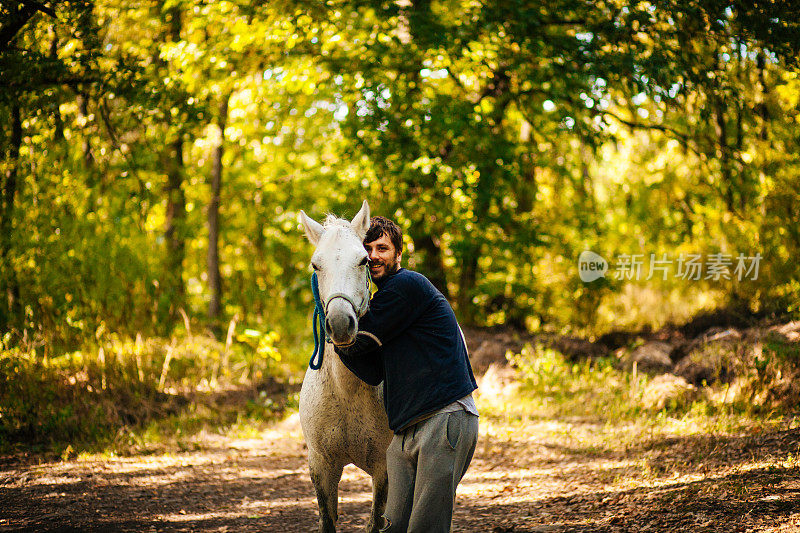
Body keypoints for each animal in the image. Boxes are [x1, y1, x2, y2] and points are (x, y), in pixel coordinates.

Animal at [298, 201, 392, 532]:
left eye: (364, 260)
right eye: (316, 265)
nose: (340, 323)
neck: (346, 392)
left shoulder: (384, 468)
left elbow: (376, 521)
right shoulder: (321, 467)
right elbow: (328, 520)